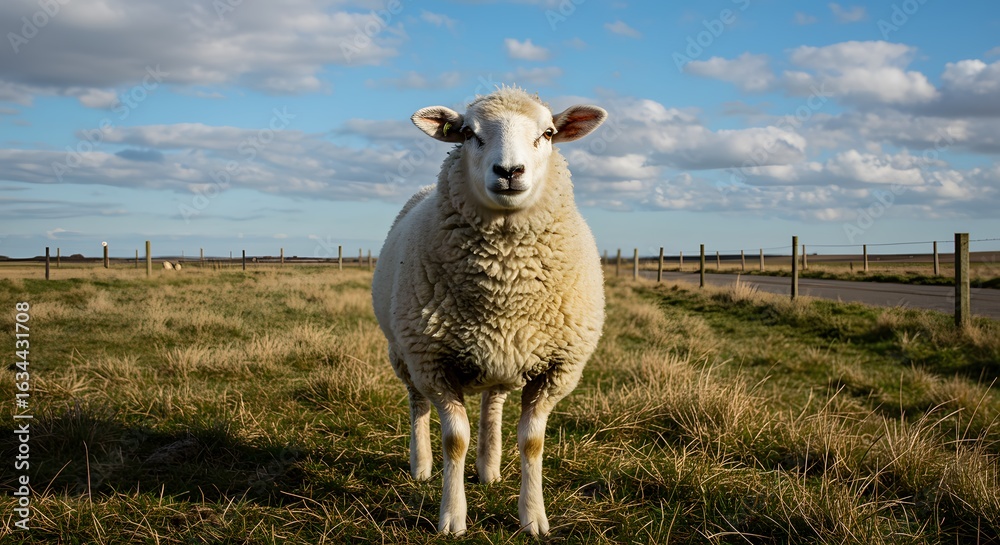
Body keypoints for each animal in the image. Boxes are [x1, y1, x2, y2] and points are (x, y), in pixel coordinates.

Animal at [372, 86, 607, 536]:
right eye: (467, 133)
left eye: (548, 133)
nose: (510, 171)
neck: (504, 283)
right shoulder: (434, 363)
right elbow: (454, 441)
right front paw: (452, 517)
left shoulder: (556, 369)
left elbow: (532, 442)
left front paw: (533, 517)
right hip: (404, 354)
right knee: (417, 404)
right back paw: (421, 465)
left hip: (502, 354)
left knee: (492, 405)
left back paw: (489, 467)